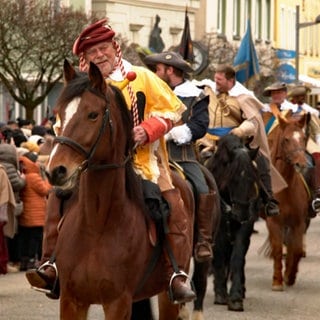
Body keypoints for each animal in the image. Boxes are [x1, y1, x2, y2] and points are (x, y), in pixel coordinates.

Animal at [46, 59, 194, 318]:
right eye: (58, 114)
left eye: (93, 114)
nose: (56, 170)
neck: (96, 225)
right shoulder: (71, 300)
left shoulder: (117, 301)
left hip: (167, 296)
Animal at [205, 134, 260, 312]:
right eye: (232, 178)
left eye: (253, 178)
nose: (240, 214)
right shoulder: (218, 228)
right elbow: (219, 254)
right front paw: (220, 292)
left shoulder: (245, 226)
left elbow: (237, 256)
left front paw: (235, 296)